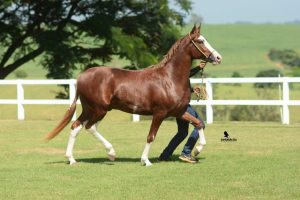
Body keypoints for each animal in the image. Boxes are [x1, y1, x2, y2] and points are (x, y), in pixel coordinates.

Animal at [45, 24, 223, 166]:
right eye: (200, 41)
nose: (218, 57)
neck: (169, 79)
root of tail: (81, 77)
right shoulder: (159, 113)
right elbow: (151, 136)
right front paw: (146, 161)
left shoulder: (178, 112)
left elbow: (198, 123)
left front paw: (197, 151)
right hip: (99, 109)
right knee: (89, 127)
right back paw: (111, 153)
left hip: (90, 109)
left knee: (76, 126)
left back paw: (72, 159)